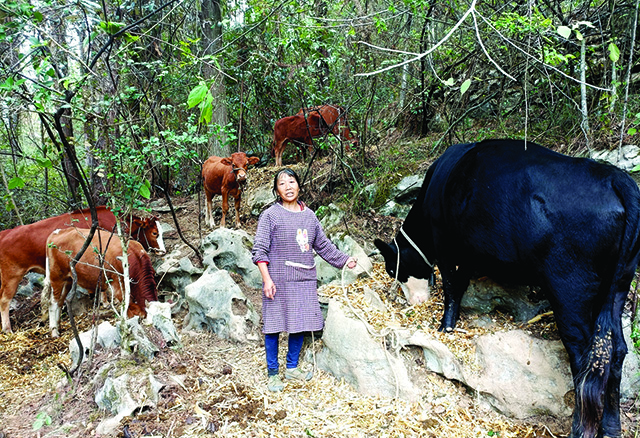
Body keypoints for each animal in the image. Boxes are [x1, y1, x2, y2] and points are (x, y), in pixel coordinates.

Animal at [0, 205, 165, 332]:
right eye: (155, 233)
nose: (163, 251)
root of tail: (5, 233)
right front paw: (106, 302)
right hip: (13, 276)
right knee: (5, 301)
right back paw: (8, 329)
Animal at [376, 139, 640, 438]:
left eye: (392, 269)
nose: (413, 302)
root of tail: (615, 177)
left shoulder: (444, 241)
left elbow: (451, 285)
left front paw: (446, 325)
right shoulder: (470, 250)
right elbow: (462, 281)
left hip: (571, 289)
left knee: (585, 354)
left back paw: (580, 427)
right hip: (618, 284)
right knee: (616, 350)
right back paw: (611, 426)